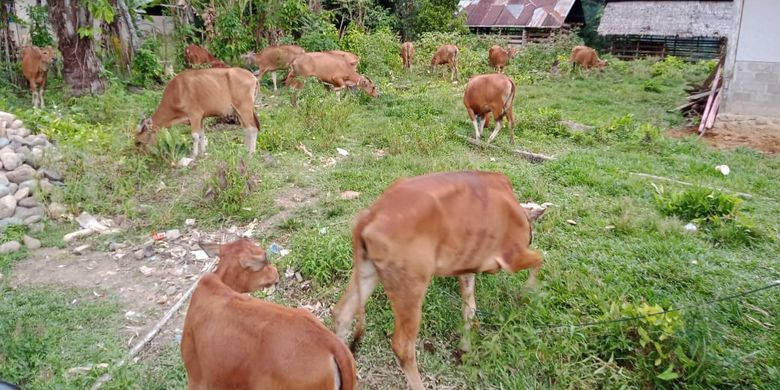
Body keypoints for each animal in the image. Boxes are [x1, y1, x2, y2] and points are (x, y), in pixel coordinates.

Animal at [332, 171, 544, 390]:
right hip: (411, 286)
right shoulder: (513, 256)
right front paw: (526, 294)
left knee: (342, 315)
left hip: (368, 273)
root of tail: (370, 215)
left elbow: (470, 309)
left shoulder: (467, 268)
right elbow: (540, 259)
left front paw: (465, 348)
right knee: (402, 346)